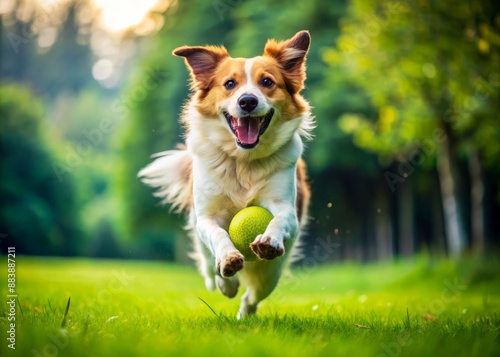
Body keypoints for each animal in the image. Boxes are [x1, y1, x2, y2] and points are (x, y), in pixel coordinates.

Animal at [139, 29, 314, 316]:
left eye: (267, 81)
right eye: (230, 84)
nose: (248, 101)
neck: (242, 161)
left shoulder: (286, 207)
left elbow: (279, 219)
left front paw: (269, 239)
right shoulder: (206, 216)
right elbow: (219, 235)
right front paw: (228, 263)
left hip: (273, 271)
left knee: (254, 294)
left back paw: (245, 312)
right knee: (210, 270)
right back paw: (225, 282)